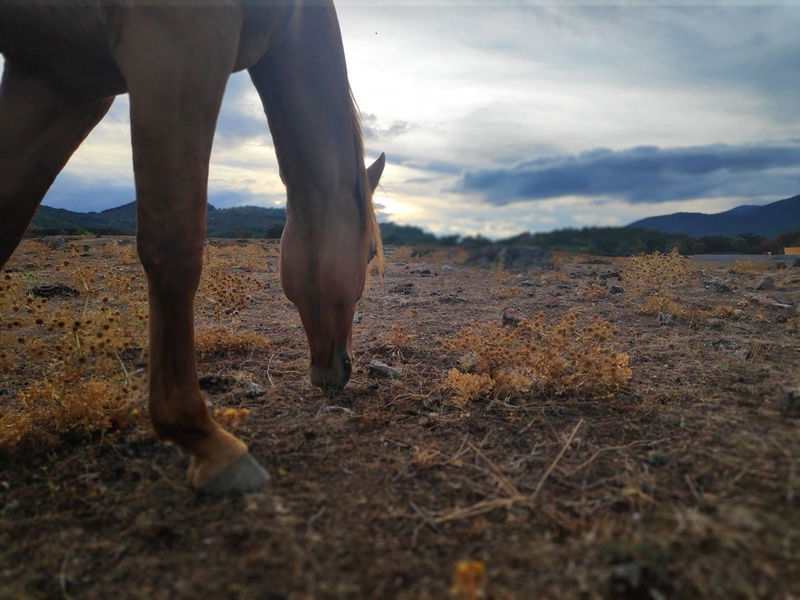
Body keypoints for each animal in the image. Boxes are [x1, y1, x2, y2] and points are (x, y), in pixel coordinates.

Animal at [0, 2, 384, 494]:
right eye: (368, 254)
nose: (340, 370)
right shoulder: (178, 48)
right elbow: (174, 249)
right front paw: (204, 440)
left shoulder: (61, 81)